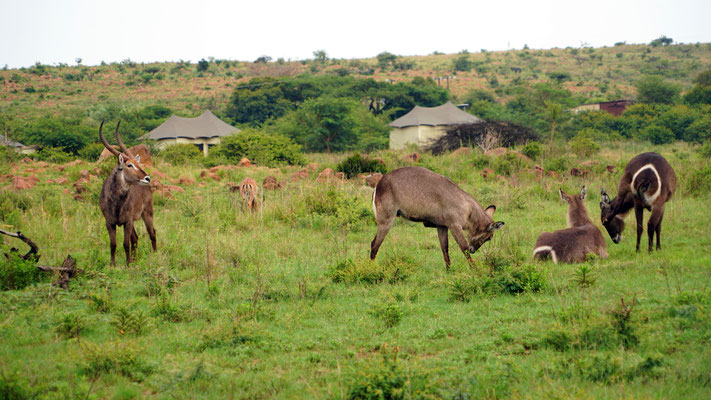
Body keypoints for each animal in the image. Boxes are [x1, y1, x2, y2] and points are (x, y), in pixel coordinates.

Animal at [98, 122, 156, 266]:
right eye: (129, 165)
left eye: (137, 163)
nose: (147, 178)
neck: (116, 203)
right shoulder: (109, 222)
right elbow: (113, 244)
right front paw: (112, 264)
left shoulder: (127, 222)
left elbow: (125, 244)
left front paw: (128, 264)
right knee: (135, 238)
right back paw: (135, 259)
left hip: (147, 213)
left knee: (152, 233)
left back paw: (155, 255)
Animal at [370, 166, 504, 268]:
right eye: (488, 237)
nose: (474, 250)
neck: (468, 209)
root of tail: (380, 184)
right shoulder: (454, 226)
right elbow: (463, 247)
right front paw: (475, 269)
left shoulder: (441, 226)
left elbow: (445, 249)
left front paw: (449, 271)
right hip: (386, 220)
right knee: (374, 244)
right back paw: (371, 268)